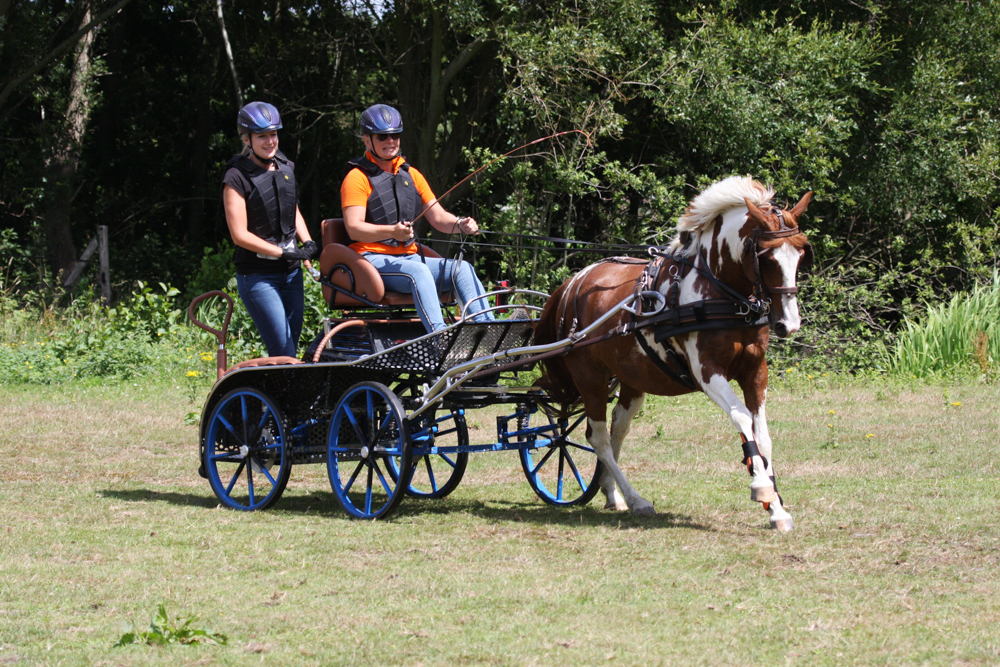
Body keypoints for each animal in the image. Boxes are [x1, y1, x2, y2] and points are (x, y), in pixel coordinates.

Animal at [536, 176, 808, 532]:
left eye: (801, 254)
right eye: (766, 257)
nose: (788, 323)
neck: (720, 293)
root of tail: (572, 284)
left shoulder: (755, 371)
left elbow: (762, 435)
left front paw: (776, 508)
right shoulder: (706, 371)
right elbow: (742, 418)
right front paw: (762, 487)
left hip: (631, 379)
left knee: (617, 429)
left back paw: (613, 493)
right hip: (590, 377)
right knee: (598, 437)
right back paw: (636, 499)